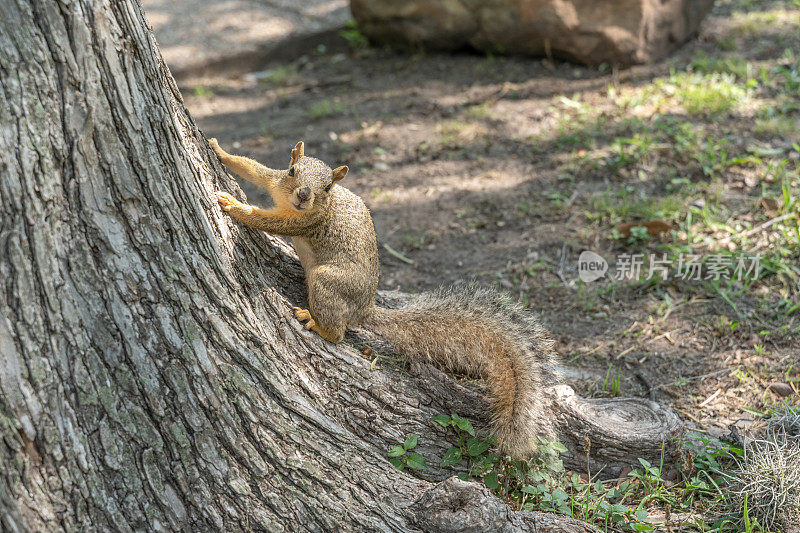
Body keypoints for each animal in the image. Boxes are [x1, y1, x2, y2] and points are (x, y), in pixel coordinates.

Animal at [212, 138, 564, 458]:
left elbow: (266, 220)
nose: (303, 195)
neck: (293, 203)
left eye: (327, 187)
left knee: (338, 333)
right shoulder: (275, 183)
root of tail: (364, 308)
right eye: (292, 170)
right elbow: (253, 169)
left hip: (328, 282)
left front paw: (234, 205)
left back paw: (316, 322)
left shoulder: (305, 222)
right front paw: (218, 149)